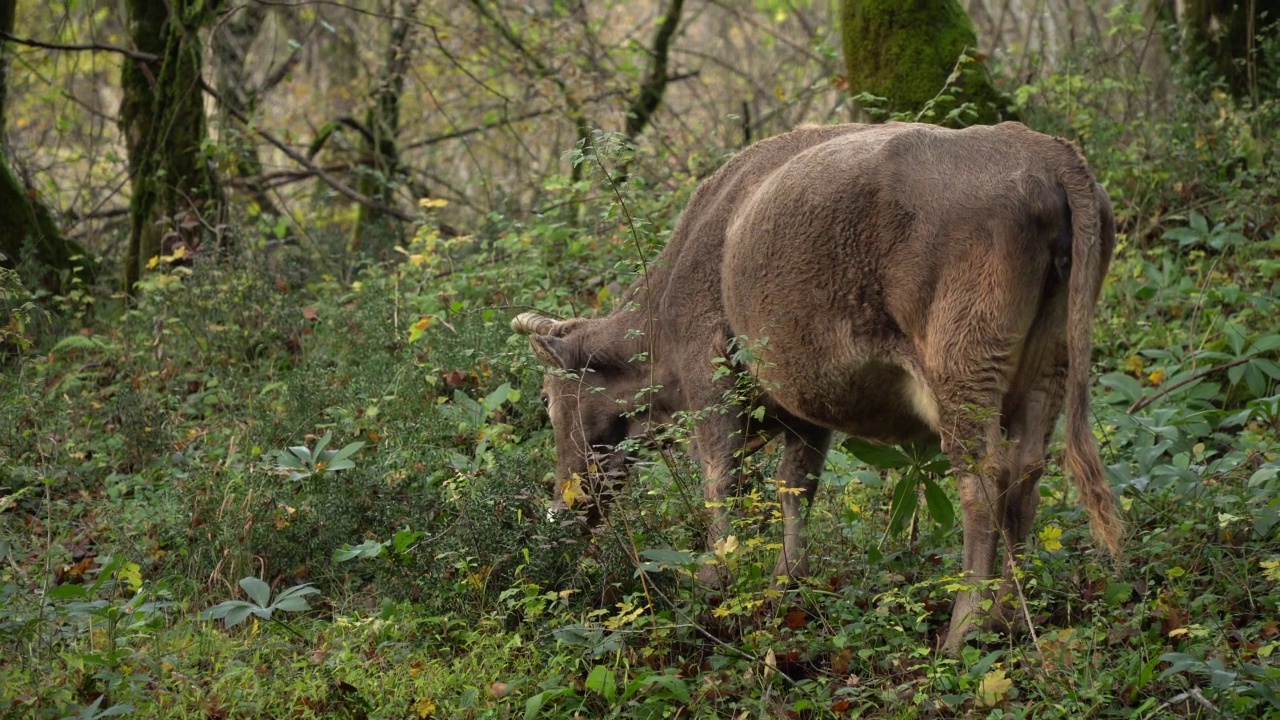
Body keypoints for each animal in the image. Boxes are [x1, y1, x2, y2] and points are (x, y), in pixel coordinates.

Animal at [514, 120, 1126, 648]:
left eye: (550, 402)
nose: (561, 513)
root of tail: (1043, 152)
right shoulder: (806, 407)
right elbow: (795, 487)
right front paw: (788, 580)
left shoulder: (712, 386)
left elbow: (720, 482)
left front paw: (714, 581)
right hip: (1049, 368)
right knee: (1026, 473)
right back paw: (1008, 619)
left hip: (962, 373)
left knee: (983, 482)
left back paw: (963, 631)